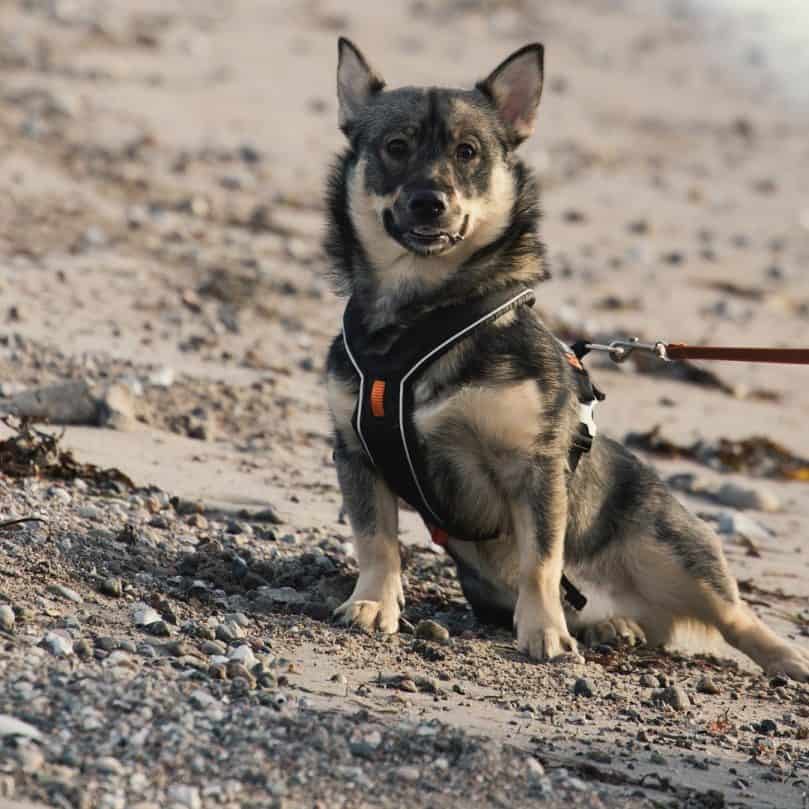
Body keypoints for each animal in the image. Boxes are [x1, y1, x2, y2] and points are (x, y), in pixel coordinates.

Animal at [322, 34, 808, 680]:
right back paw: (611, 625)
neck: (423, 315)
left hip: (671, 549)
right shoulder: (357, 454)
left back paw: (784, 656)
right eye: (395, 148)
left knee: (735, 614)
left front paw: (543, 631)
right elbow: (376, 541)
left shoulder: (536, 466)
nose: (428, 202)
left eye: (468, 152)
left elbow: (541, 561)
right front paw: (374, 602)